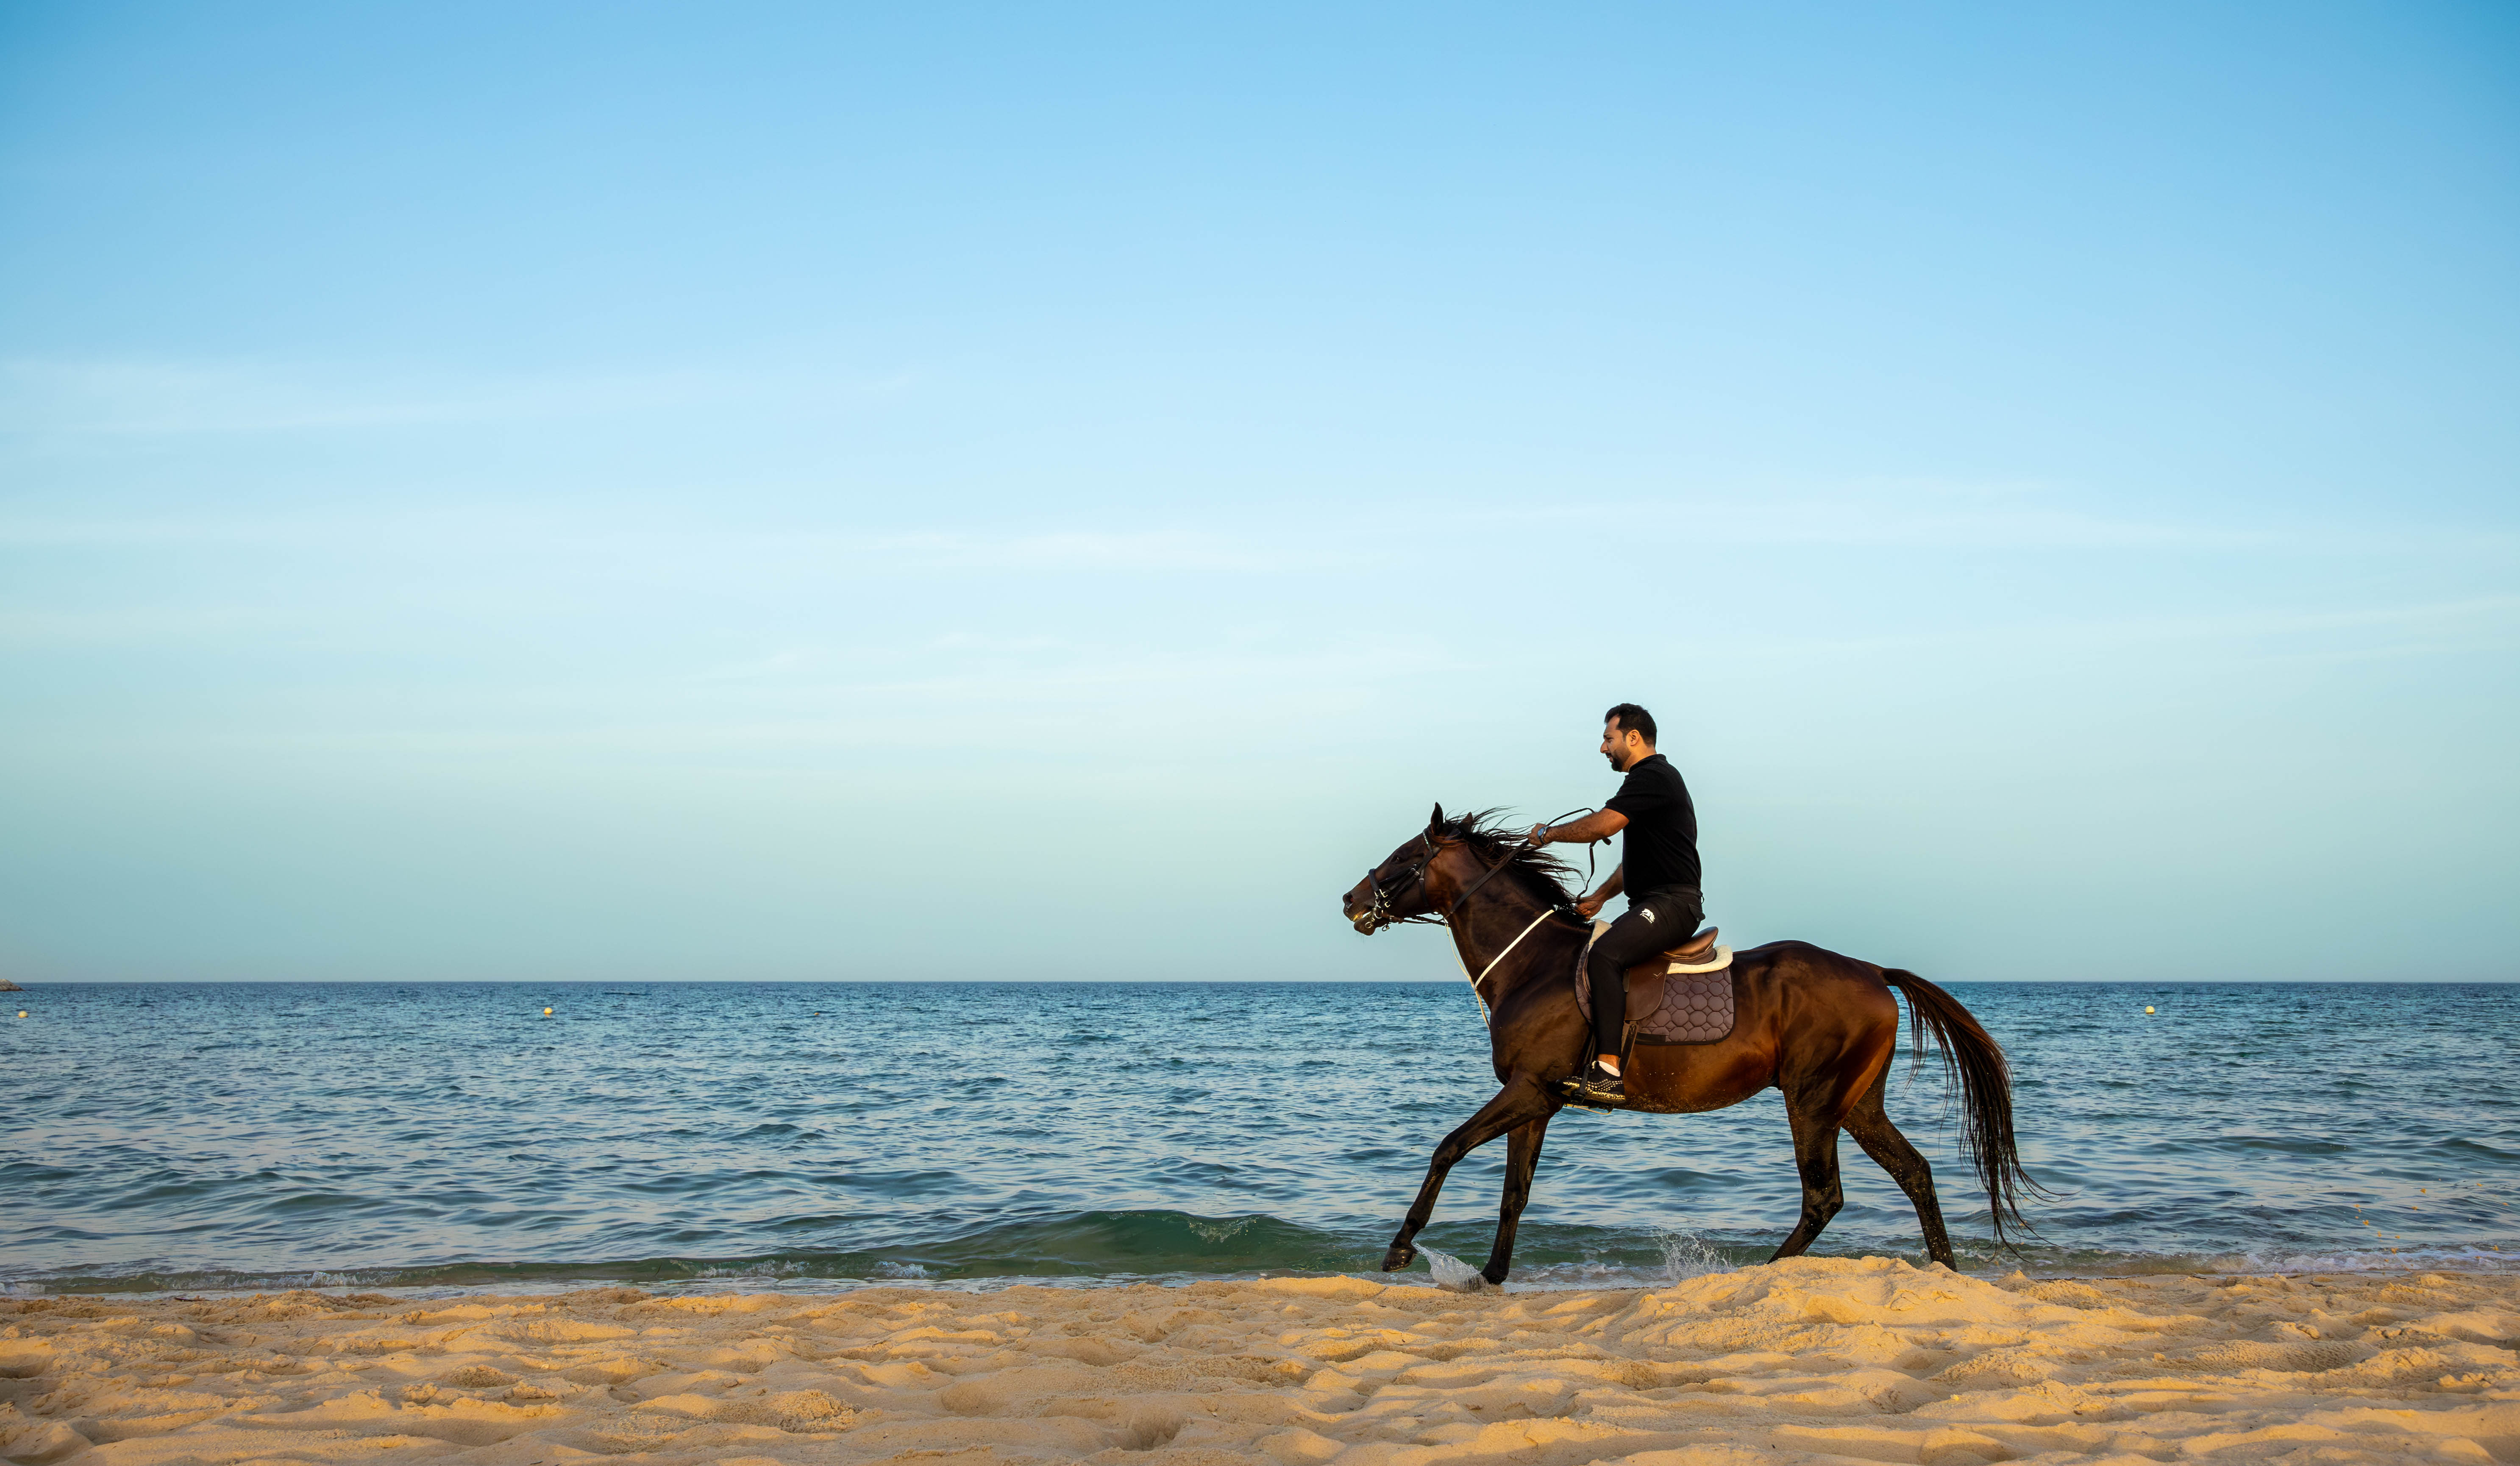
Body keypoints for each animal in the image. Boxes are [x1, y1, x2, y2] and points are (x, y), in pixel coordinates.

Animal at [1340, 805, 2040, 1286]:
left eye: (1404, 855)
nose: (1350, 898)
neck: (1532, 963)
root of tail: (1873, 971)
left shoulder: (1528, 1089)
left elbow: (1446, 1147)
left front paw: (1400, 1246)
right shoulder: (1536, 1101)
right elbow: (1515, 1191)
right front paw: (1491, 1275)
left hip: (1813, 1099)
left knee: (1824, 1195)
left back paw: (1757, 1273)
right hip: (1858, 1102)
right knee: (1914, 1172)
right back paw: (1945, 1269)